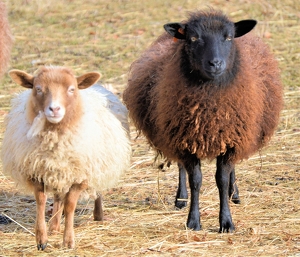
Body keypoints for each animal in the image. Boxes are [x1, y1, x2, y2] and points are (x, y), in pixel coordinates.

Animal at [1, 65, 131, 249]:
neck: (54, 139)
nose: (54, 109)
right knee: (57, 196)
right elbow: (41, 201)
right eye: (38, 88)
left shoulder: (81, 175)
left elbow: (70, 205)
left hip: (98, 164)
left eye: (71, 89)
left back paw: (98, 215)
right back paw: (54, 226)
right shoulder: (37, 171)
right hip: (59, 171)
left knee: (96, 190)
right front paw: (42, 239)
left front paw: (68, 241)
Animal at [122, 9, 284, 231]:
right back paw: (181, 199)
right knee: (181, 168)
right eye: (193, 38)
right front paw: (193, 221)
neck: (210, 108)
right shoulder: (186, 140)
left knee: (231, 170)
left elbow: (222, 179)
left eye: (228, 37)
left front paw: (226, 222)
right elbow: (195, 180)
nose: (215, 63)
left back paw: (234, 194)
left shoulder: (231, 139)